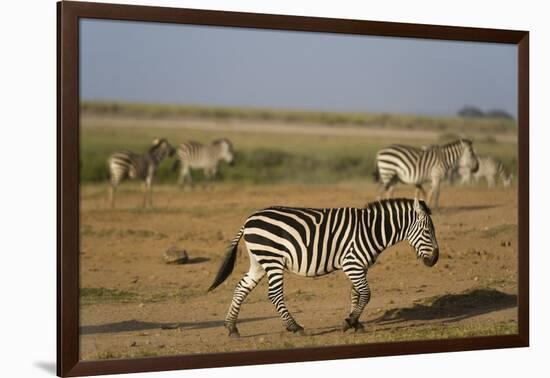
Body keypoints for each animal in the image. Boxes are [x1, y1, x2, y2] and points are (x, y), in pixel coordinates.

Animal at [209, 198, 442, 336]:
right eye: (428, 232)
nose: (435, 260)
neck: (371, 231)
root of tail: (249, 219)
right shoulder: (352, 263)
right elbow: (366, 294)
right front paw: (349, 322)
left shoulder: (359, 266)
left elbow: (356, 294)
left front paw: (355, 323)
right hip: (273, 259)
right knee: (274, 294)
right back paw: (295, 327)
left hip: (259, 261)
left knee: (241, 287)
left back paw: (231, 327)